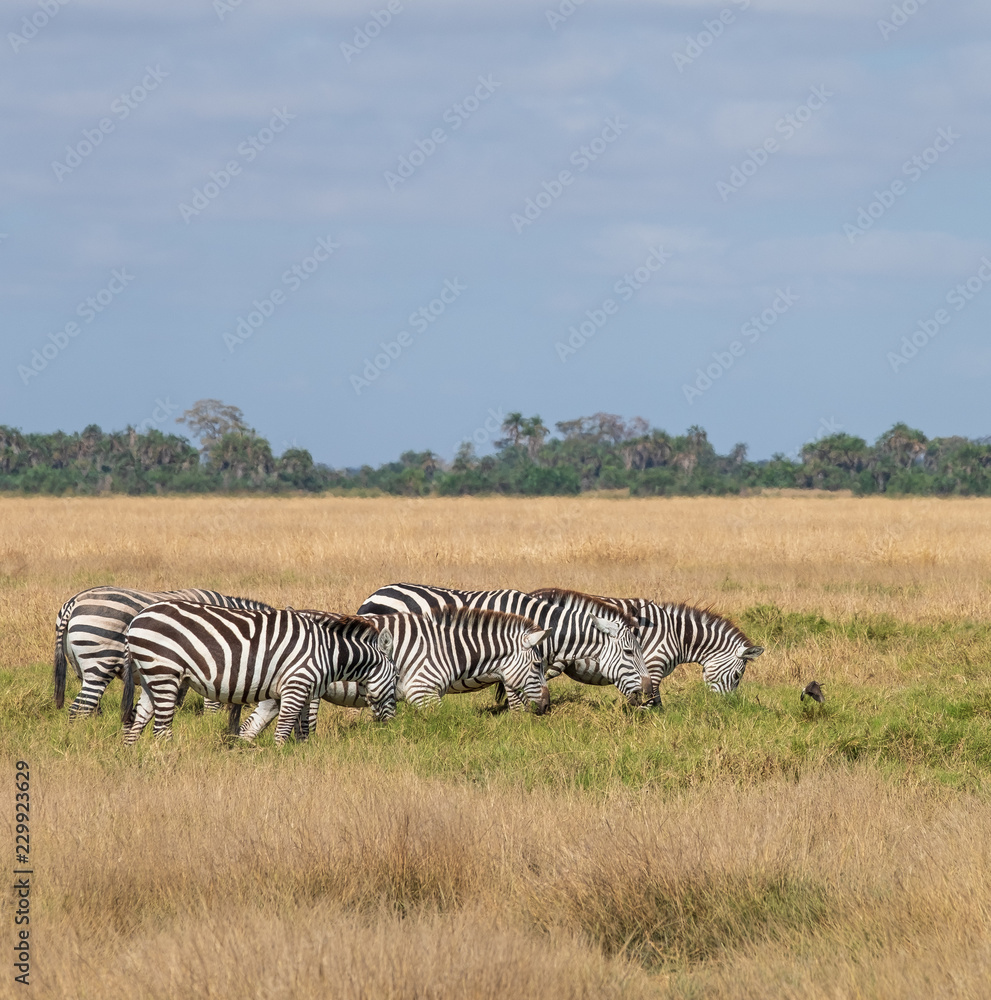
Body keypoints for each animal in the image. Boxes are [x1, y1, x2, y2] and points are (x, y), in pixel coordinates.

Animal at [53, 586, 276, 723]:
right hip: (101, 659)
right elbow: (210, 705)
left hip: (81, 666)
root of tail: (74, 601)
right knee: (80, 708)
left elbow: (178, 698)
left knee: (91, 705)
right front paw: (209, 723)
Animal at [121, 603, 396, 746]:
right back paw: (169, 760)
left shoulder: (300, 692)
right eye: (395, 679)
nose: (392, 724)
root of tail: (137, 619)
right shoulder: (296, 686)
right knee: (161, 729)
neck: (328, 652)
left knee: (138, 722)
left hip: (151, 677)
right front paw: (280, 762)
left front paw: (300, 757)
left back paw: (134, 758)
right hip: (164, 672)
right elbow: (282, 731)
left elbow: (301, 731)